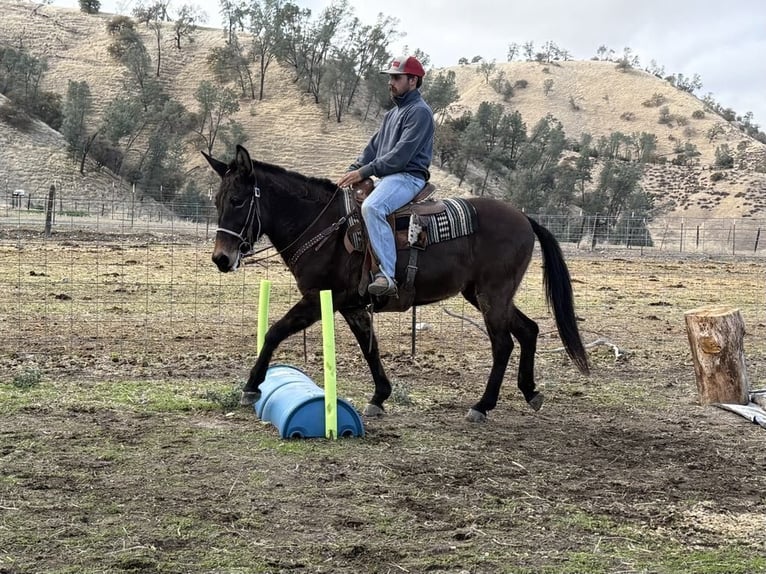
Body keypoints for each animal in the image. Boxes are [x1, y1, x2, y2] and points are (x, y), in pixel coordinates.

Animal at [202, 144, 588, 424]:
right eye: (217, 201)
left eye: (237, 200)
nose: (221, 258)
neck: (324, 226)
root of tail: (524, 217)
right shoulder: (352, 306)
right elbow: (369, 348)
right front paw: (379, 397)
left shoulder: (318, 299)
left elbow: (274, 333)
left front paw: (251, 386)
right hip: (484, 295)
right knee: (529, 330)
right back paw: (530, 392)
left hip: (493, 296)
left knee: (504, 344)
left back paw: (482, 405)